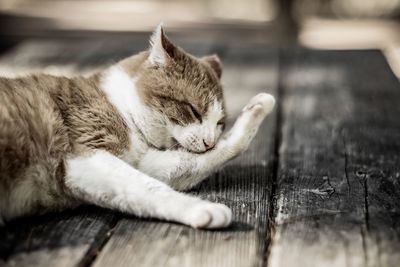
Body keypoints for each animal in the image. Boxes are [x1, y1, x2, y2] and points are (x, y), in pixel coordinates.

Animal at [0, 25, 276, 229]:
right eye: (194, 111)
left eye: (220, 123)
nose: (209, 142)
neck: (123, 109)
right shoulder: (84, 155)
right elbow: (150, 187)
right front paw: (203, 209)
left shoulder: (142, 163)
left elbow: (194, 163)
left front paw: (258, 109)